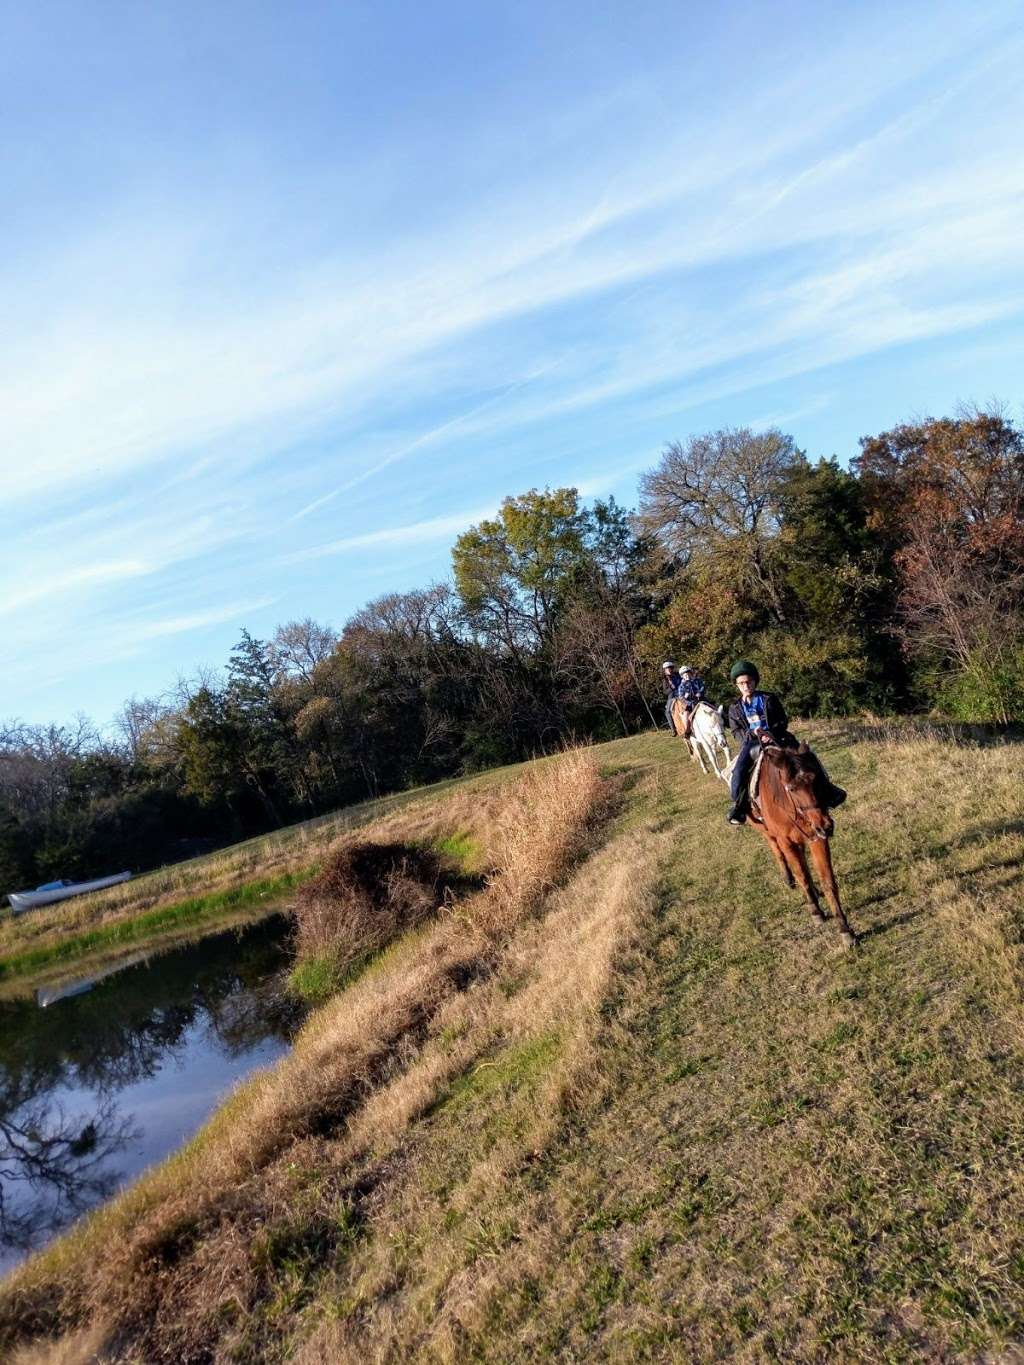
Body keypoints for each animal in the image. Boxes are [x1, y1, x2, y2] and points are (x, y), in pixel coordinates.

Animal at [748, 748, 857, 950]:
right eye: (792, 788)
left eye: (817, 779)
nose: (826, 826)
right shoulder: (786, 842)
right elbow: (802, 876)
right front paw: (815, 911)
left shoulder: (816, 838)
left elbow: (827, 882)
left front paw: (845, 930)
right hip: (766, 832)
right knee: (776, 850)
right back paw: (788, 878)